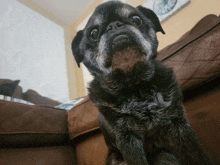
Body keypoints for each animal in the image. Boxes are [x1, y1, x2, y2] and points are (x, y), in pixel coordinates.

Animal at [71, 0, 212, 164]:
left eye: (136, 19)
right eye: (93, 33)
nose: (114, 25)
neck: (135, 85)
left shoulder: (180, 127)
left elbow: (199, 155)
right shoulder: (128, 138)